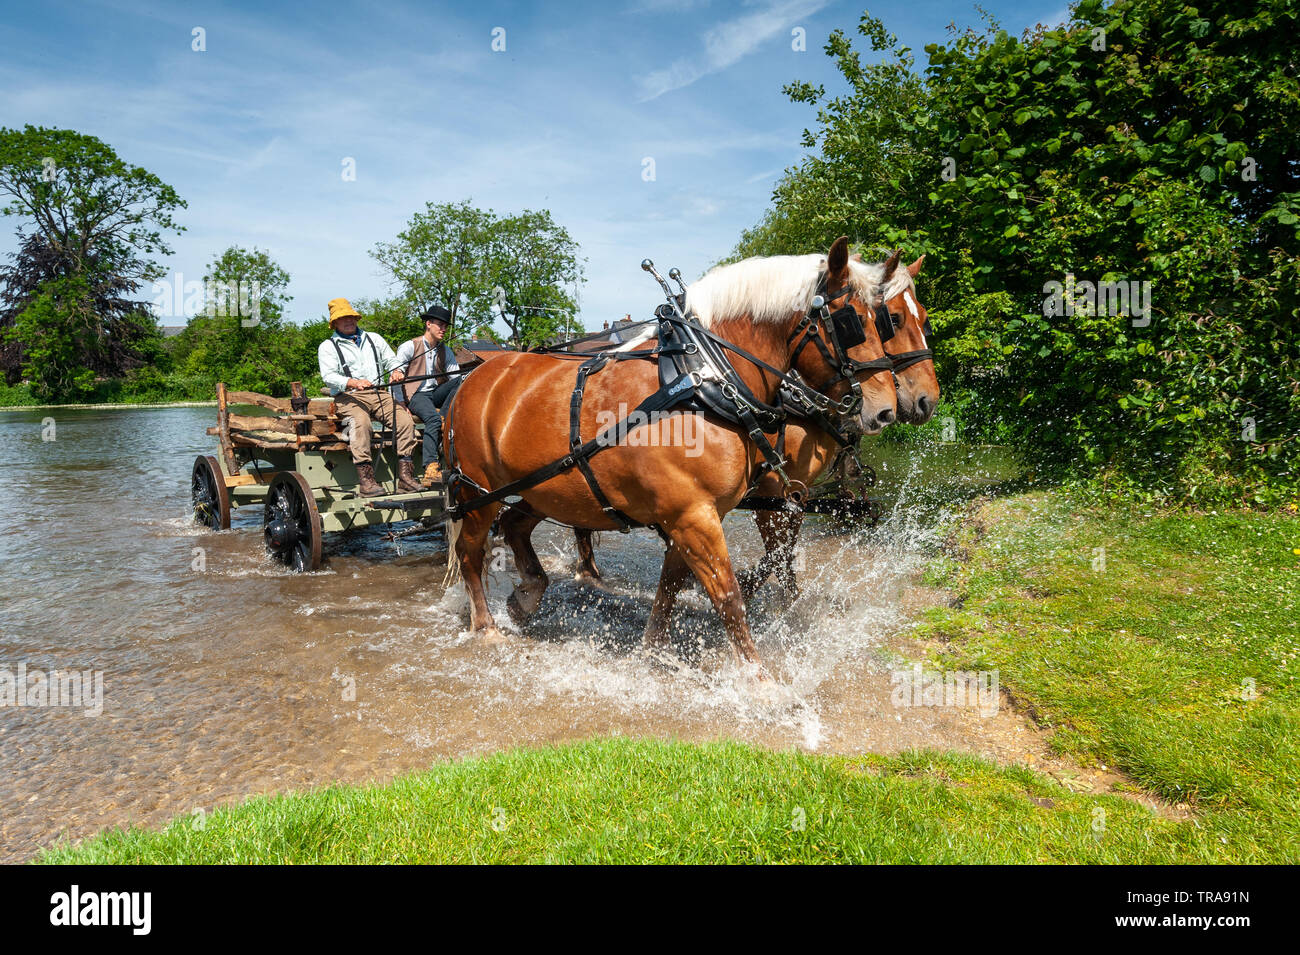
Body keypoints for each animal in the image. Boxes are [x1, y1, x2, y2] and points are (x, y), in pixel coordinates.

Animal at [441, 236, 899, 686]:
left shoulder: (693, 514)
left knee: (514, 526)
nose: (887, 410)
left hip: (545, 489)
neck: (704, 376)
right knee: (470, 551)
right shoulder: (692, 514)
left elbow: (670, 590)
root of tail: (469, 378)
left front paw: (650, 651)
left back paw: (527, 595)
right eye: (852, 321)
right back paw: (486, 626)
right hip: (477, 493)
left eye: (883, 321)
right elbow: (728, 595)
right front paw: (761, 683)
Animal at [574, 250, 941, 600]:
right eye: (892, 319)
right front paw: (756, 591)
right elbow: (777, 556)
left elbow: (781, 554)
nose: (928, 400)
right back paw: (588, 572)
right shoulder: (773, 489)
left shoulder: (790, 494)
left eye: (923, 319)